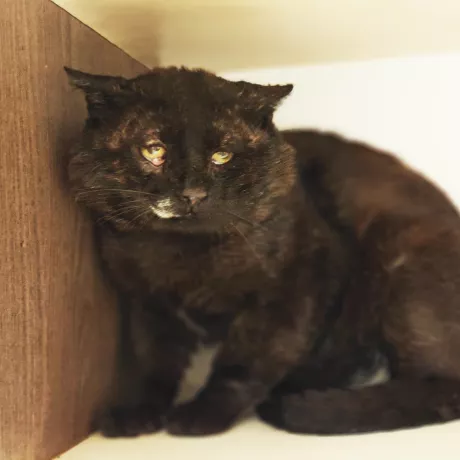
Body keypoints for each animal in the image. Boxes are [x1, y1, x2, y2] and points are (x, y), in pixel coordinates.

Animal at [65, 66, 460, 437]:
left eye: (222, 155)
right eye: (154, 149)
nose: (192, 194)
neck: (185, 255)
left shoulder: (294, 290)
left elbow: (243, 363)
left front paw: (202, 415)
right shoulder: (149, 304)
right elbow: (154, 363)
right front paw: (137, 413)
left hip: (399, 259)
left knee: (440, 388)